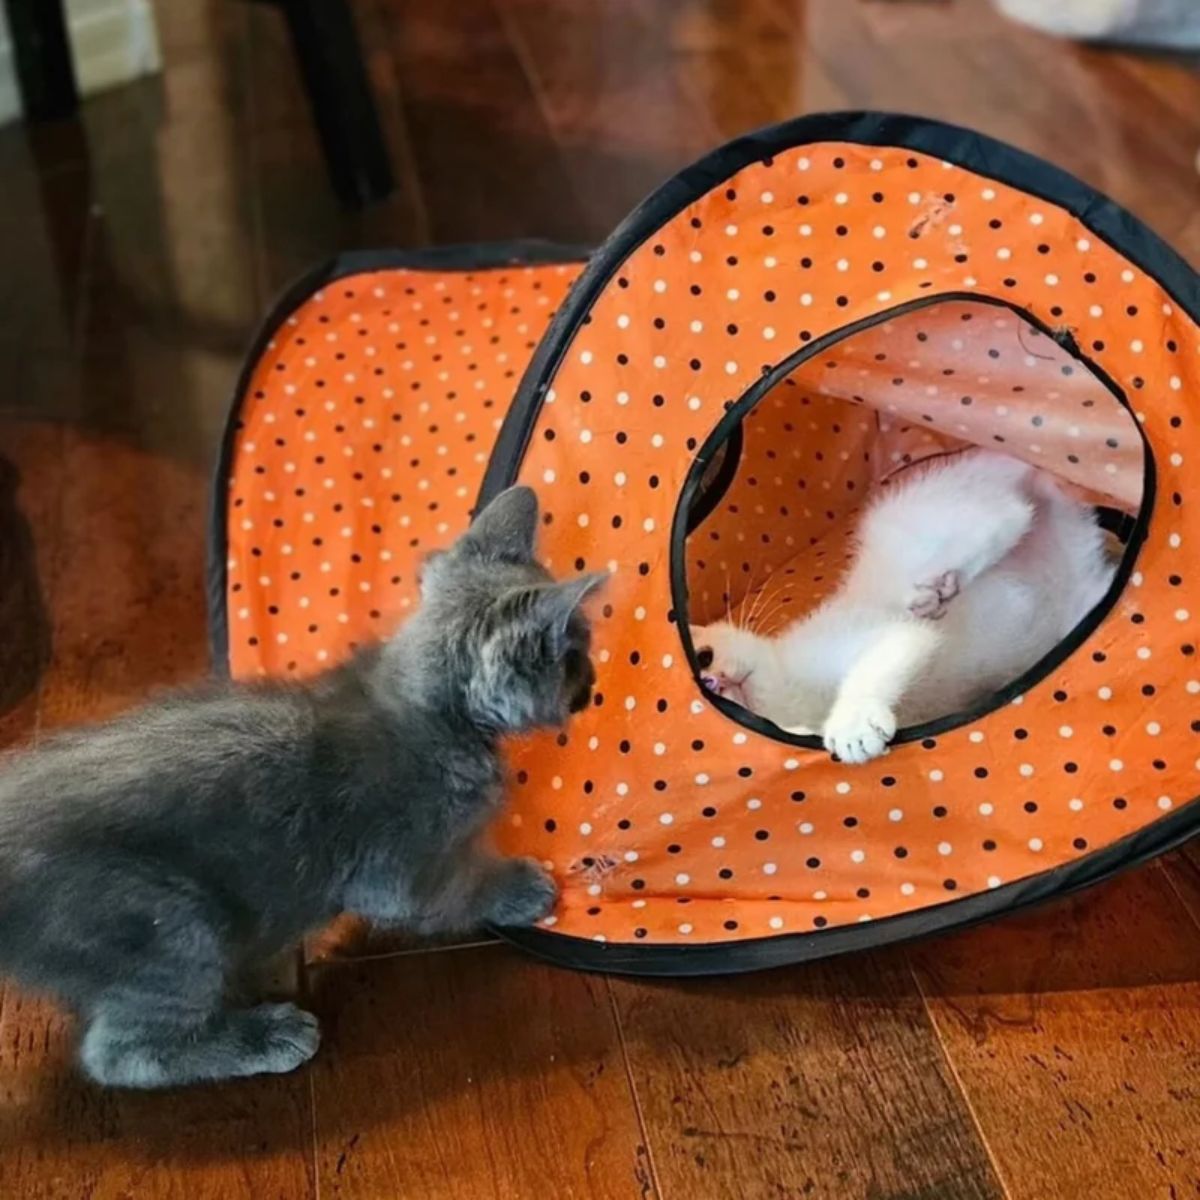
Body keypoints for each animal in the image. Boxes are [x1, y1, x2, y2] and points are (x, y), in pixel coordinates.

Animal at [0, 487, 600, 1089]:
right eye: (573, 656)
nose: (593, 684)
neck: (432, 713)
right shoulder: (397, 871)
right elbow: (461, 886)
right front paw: (521, 887)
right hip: (170, 925)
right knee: (121, 1055)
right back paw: (266, 1035)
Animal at [691, 446, 1118, 763]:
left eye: (704, 657)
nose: (716, 681)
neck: (795, 697)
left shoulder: (882, 632)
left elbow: (890, 650)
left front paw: (852, 724)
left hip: (910, 521)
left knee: (1007, 516)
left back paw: (937, 587)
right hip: (1082, 595)